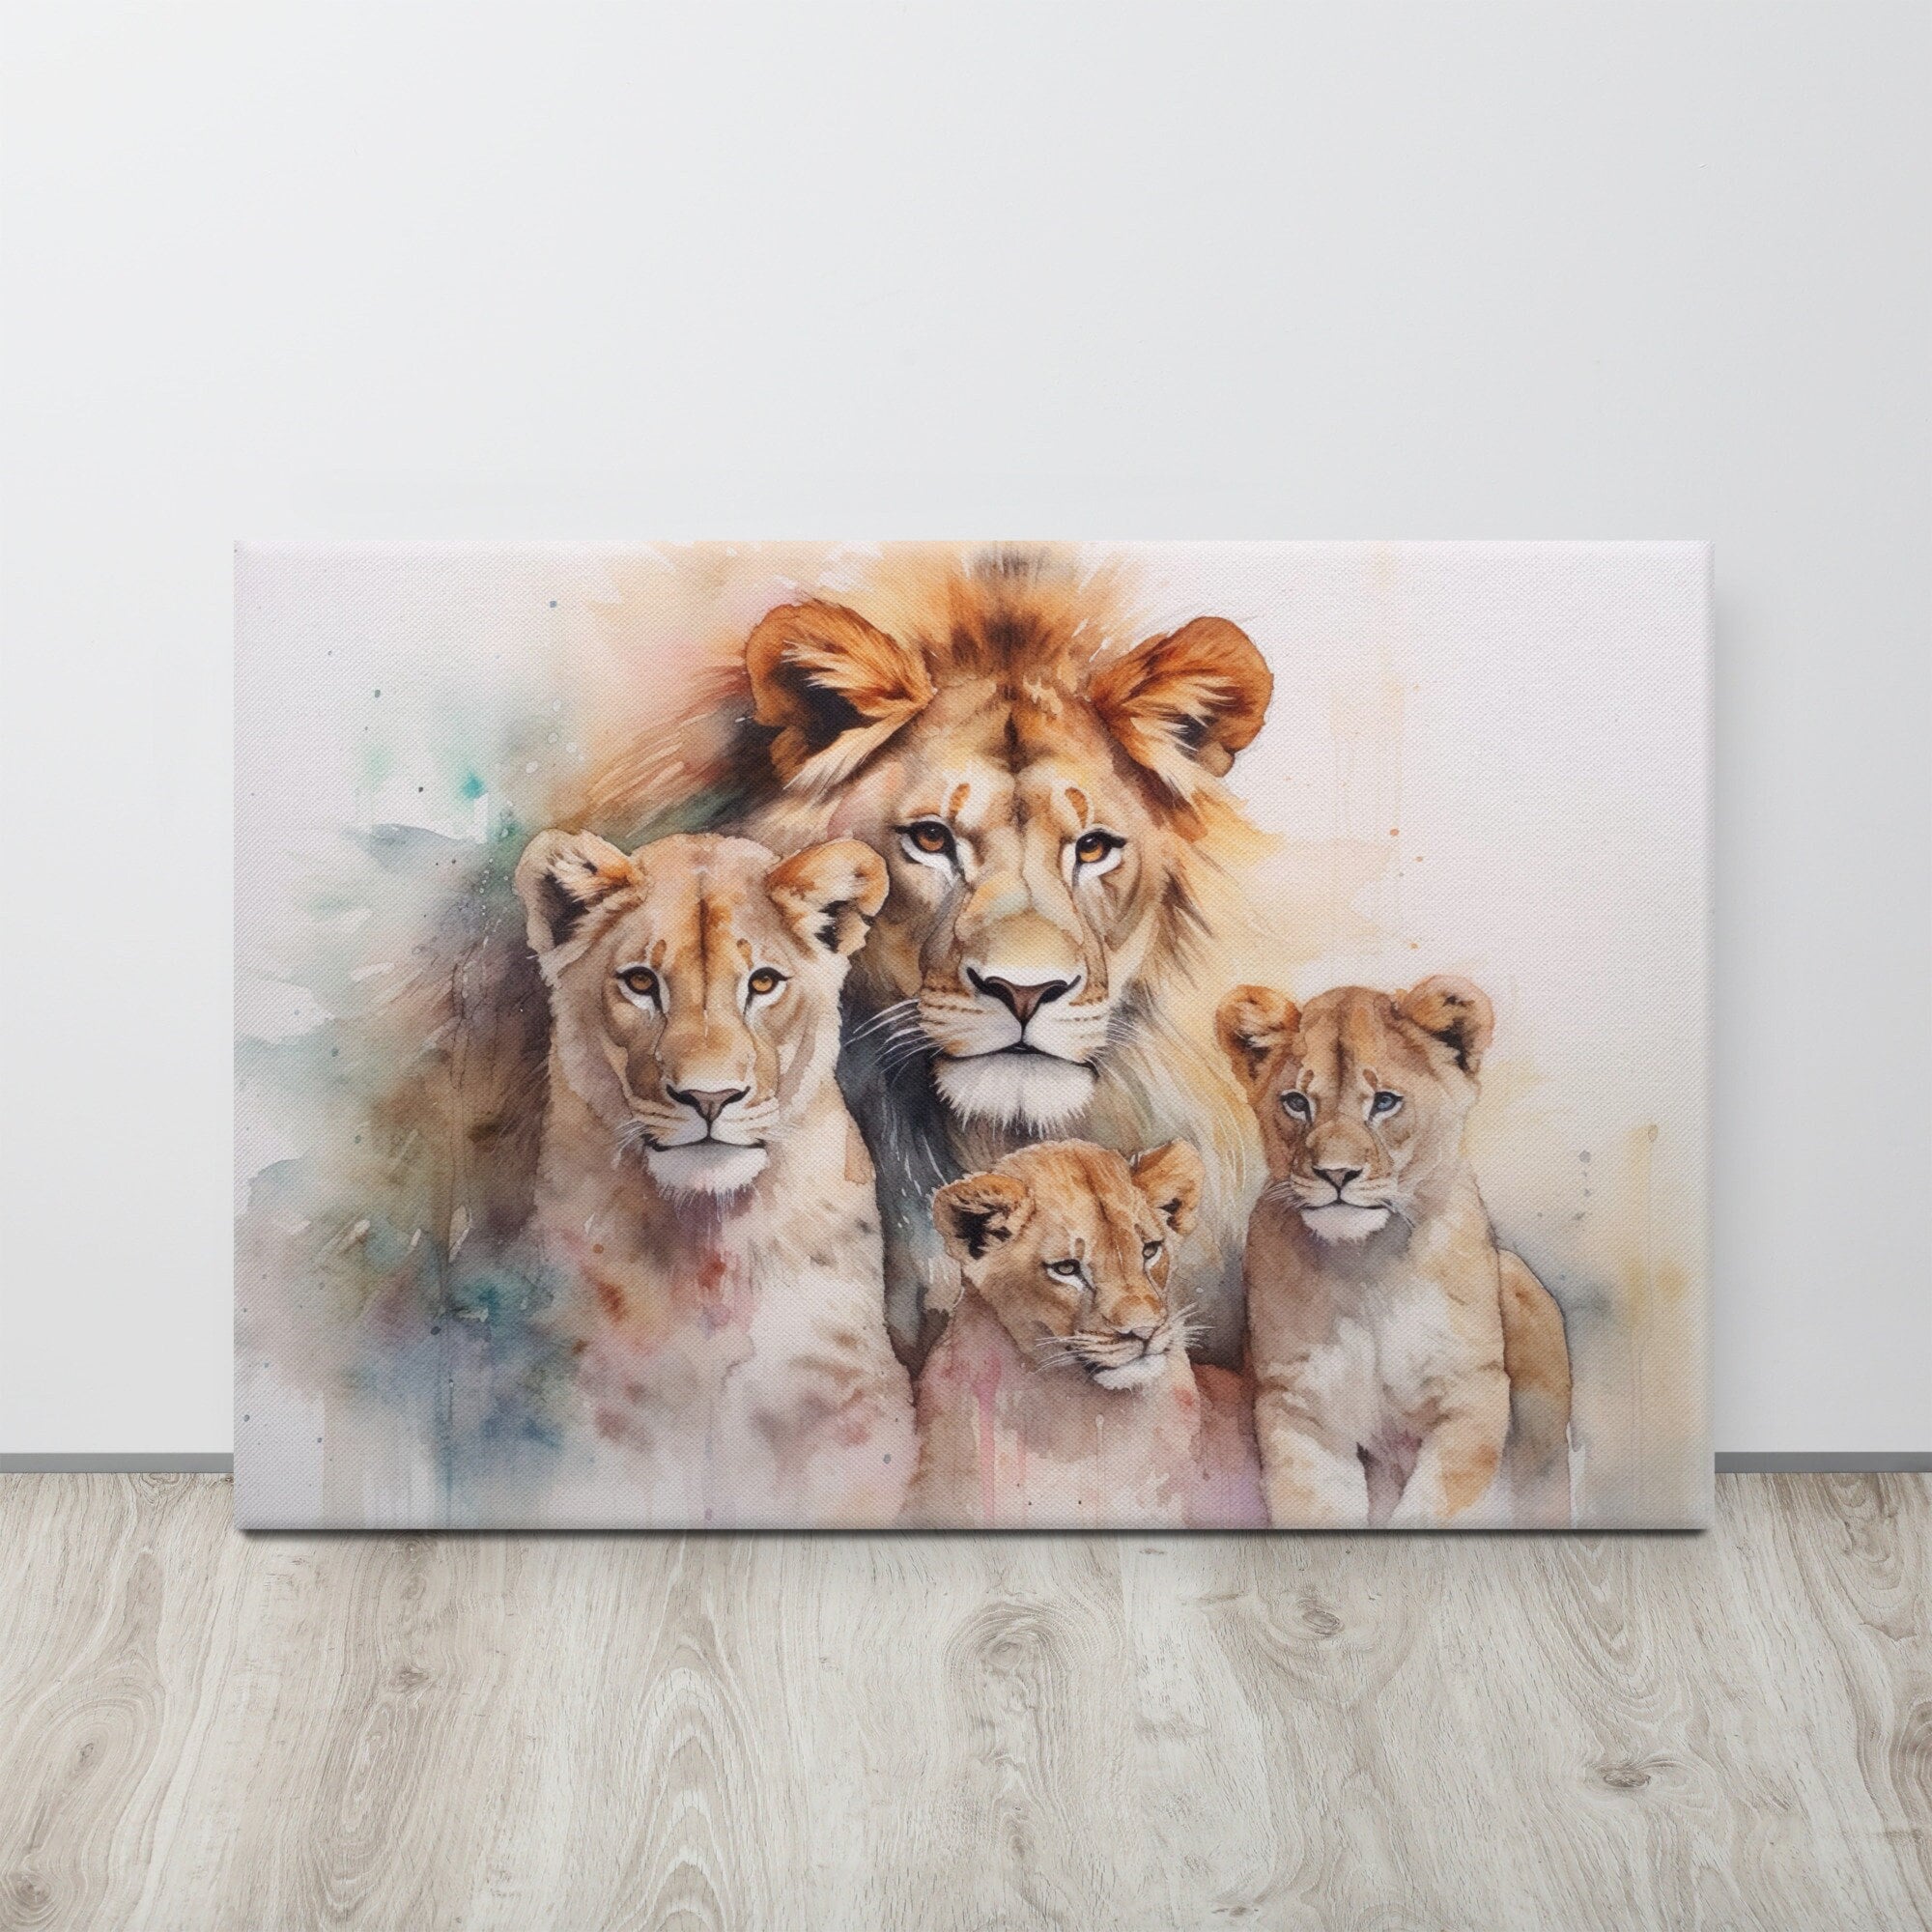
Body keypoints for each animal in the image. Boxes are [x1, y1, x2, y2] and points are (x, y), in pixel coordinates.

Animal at [513, 828, 915, 1527]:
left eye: (764, 982)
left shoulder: (849, 1394)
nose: (710, 1097)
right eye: (640, 981)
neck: (710, 1241)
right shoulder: (589, 1393)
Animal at [1216, 977, 1574, 1528]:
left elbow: (1433, 1508)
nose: (1336, 1174)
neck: (1365, 1267)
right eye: (1296, 1102)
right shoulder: (1300, 1406)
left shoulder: (1470, 1390)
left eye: (1384, 1102)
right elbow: (1318, 1510)